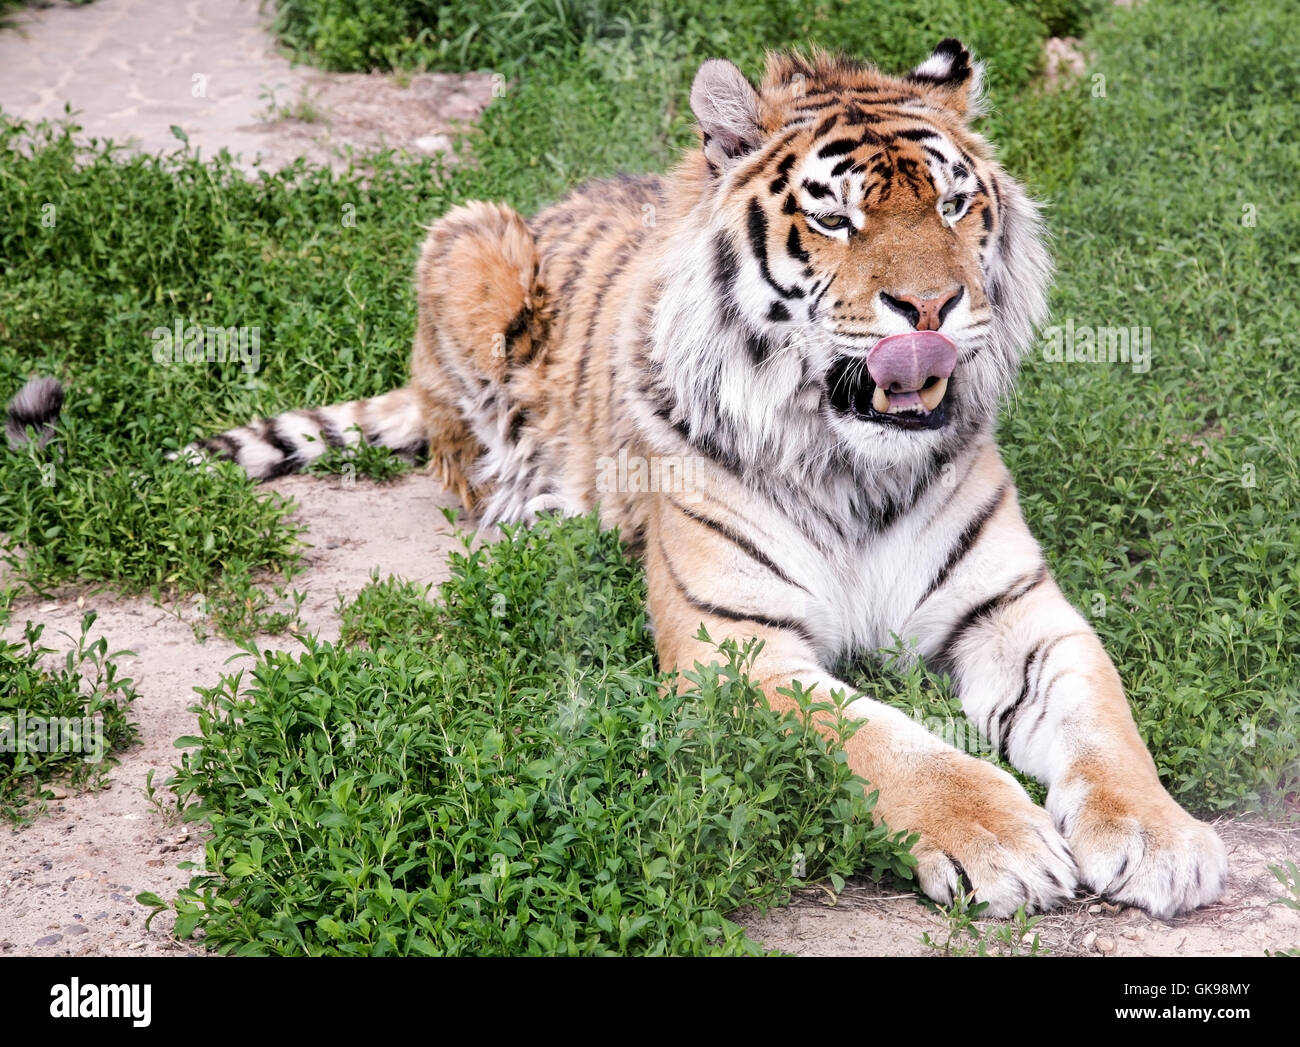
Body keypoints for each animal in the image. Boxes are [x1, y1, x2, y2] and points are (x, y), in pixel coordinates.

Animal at [10, 40, 1222, 915]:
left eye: (957, 203)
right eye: (835, 215)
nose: (931, 306)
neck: (852, 464)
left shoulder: (1019, 612)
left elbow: (1106, 719)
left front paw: (1163, 838)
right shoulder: (737, 646)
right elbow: (889, 744)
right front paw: (1002, 840)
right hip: (469, 240)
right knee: (457, 459)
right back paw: (530, 522)